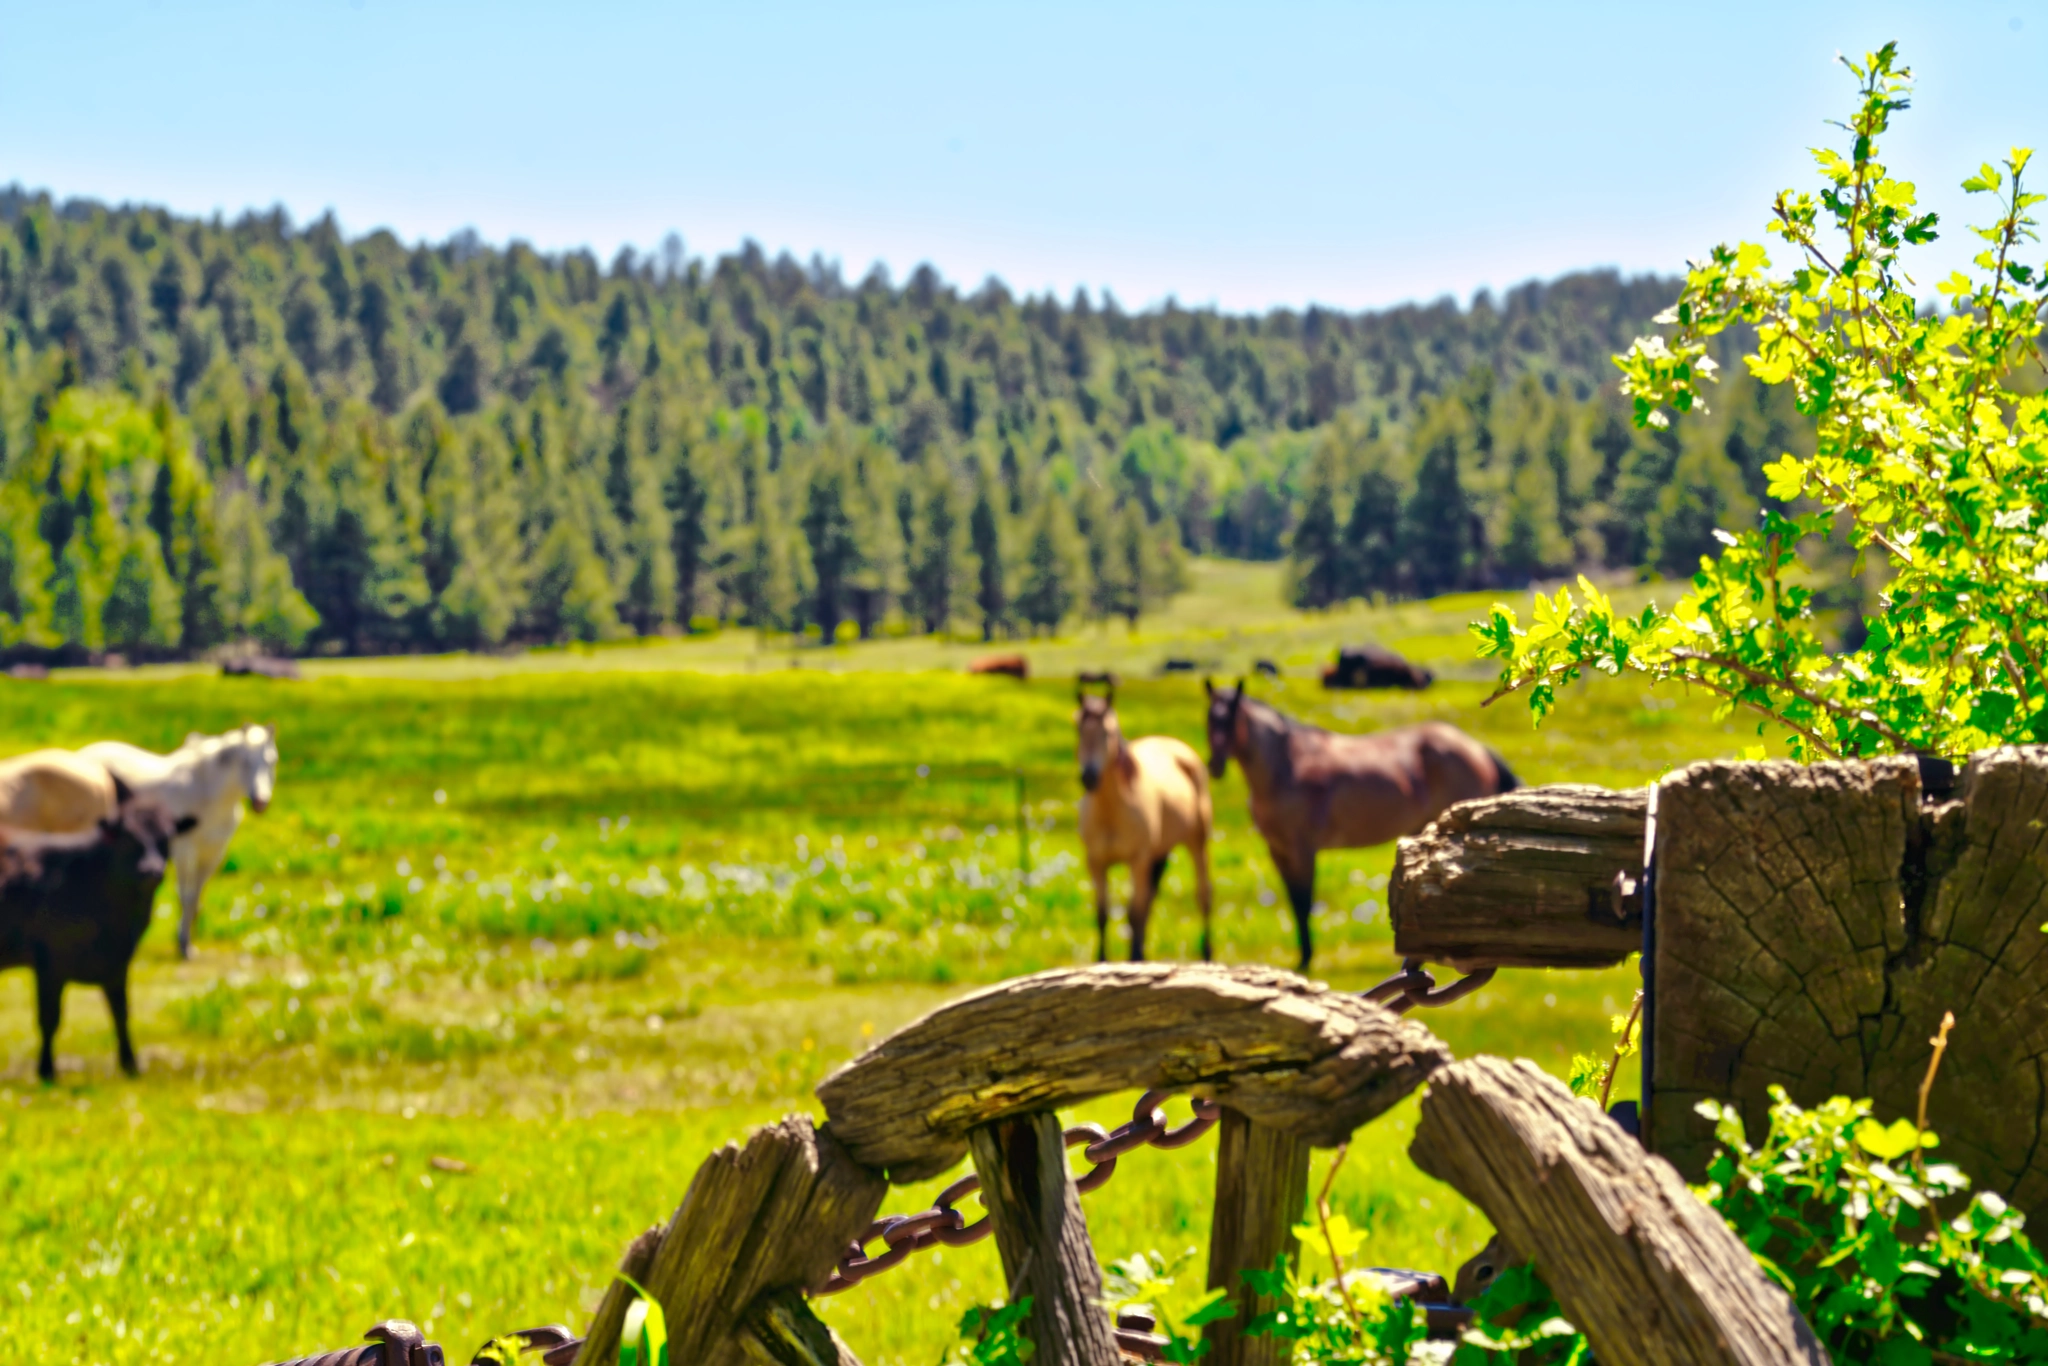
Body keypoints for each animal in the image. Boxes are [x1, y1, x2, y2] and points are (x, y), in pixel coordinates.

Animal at [0, 786, 192, 1081]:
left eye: (167, 837)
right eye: (128, 837)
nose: (151, 870)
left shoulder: (118, 961)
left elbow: (120, 1012)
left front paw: (131, 1065)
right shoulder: (50, 960)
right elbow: (49, 1018)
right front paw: (47, 1071)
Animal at [79, 724, 278, 962]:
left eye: (272, 760)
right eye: (245, 762)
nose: (260, 802)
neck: (209, 797)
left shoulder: (212, 854)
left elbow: (197, 897)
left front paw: (189, 937)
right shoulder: (185, 852)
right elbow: (186, 897)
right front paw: (183, 945)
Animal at [1073, 679, 1212, 962]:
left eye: (1108, 732)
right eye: (1078, 729)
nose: (1089, 776)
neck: (1111, 813)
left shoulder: (1137, 861)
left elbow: (1133, 913)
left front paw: (1134, 957)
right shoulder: (1096, 862)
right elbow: (1103, 914)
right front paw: (1103, 960)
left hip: (1196, 842)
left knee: (1203, 896)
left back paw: (1207, 954)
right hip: (1159, 853)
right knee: (1150, 901)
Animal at [1196, 679, 1523, 966]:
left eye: (1232, 718)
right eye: (1210, 720)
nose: (1215, 765)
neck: (1287, 766)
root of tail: (1477, 748)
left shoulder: (1303, 850)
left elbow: (1303, 902)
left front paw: (1306, 959)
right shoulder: (1278, 850)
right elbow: (1294, 902)